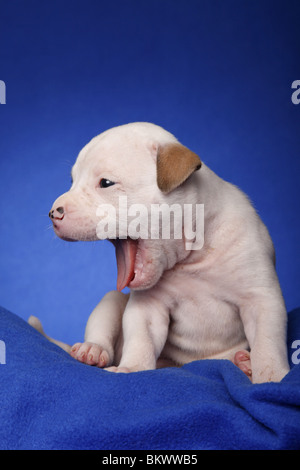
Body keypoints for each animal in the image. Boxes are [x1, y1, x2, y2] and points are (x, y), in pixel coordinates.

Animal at [29, 123, 290, 384]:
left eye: (106, 183)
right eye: (72, 181)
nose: (53, 213)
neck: (192, 256)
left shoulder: (261, 298)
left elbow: (267, 343)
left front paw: (271, 376)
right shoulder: (148, 307)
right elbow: (141, 340)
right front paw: (131, 368)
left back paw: (244, 364)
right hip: (112, 300)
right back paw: (92, 349)